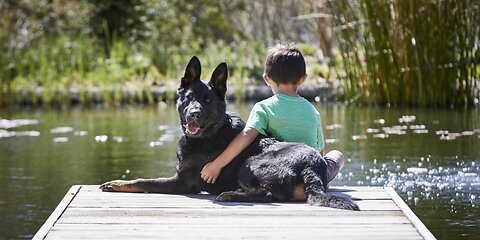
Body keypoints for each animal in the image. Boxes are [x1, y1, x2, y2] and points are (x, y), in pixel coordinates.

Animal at [99, 56, 358, 210]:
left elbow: (144, 181)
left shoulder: (183, 183)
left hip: (251, 163)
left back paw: (231, 194)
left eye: (207, 100)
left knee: (267, 195)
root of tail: (312, 166)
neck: (208, 134)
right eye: (189, 98)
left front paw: (116, 183)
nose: (194, 114)